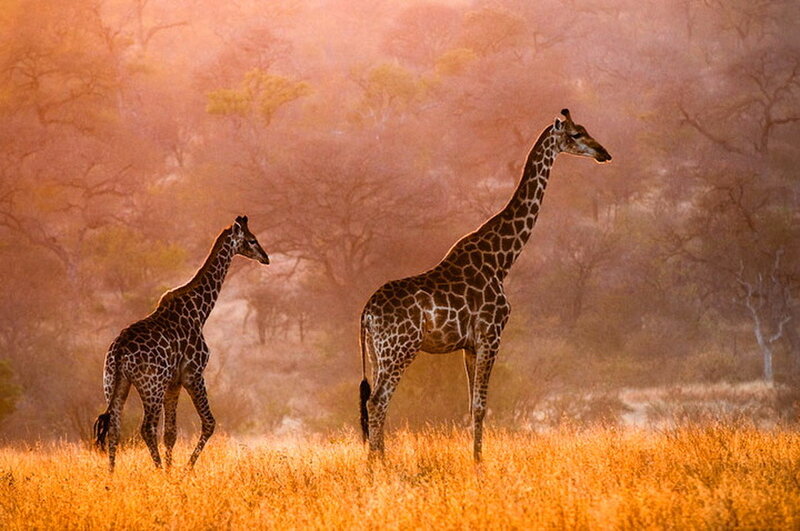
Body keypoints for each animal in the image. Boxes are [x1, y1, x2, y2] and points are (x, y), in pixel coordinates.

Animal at [93, 215, 270, 472]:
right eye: (252, 239)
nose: (266, 257)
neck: (200, 311)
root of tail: (118, 352)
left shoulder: (173, 382)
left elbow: (171, 434)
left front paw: (172, 471)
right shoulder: (193, 373)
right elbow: (209, 423)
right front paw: (184, 470)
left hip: (115, 384)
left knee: (114, 427)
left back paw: (111, 475)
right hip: (151, 386)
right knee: (146, 428)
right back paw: (156, 472)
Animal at [359, 109, 612, 461]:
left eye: (585, 130)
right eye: (576, 134)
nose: (604, 153)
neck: (501, 261)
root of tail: (367, 313)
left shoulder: (469, 344)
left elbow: (470, 405)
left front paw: (474, 460)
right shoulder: (491, 335)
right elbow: (481, 405)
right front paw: (480, 464)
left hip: (378, 353)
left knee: (374, 402)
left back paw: (377, 463)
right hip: (400, 349)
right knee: (378, 401)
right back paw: (378, 466)